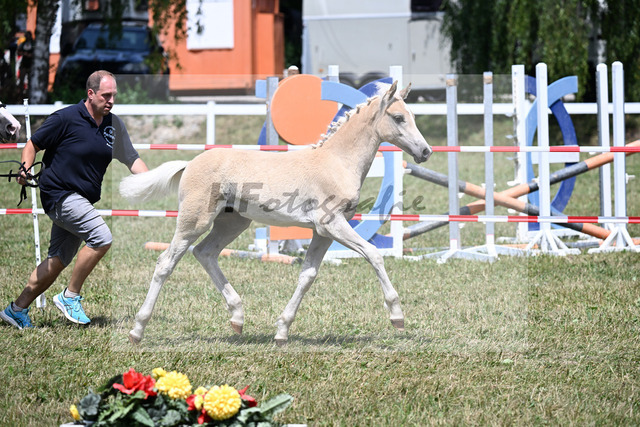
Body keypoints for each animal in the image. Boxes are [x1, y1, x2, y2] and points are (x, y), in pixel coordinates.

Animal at [120, 81, 432, 345]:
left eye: (414, 116)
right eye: (398, 117)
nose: (426, 151)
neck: (336, 162)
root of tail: (190, 163)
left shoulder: (323, 233)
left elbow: (307, 275)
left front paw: (282, 330)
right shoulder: (332, 224)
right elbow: (374, 254)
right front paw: (397, 316)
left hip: (232, 223)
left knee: (205, 253)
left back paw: (237, 317)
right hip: (194, 221)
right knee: (166, 262)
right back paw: (138, 330)